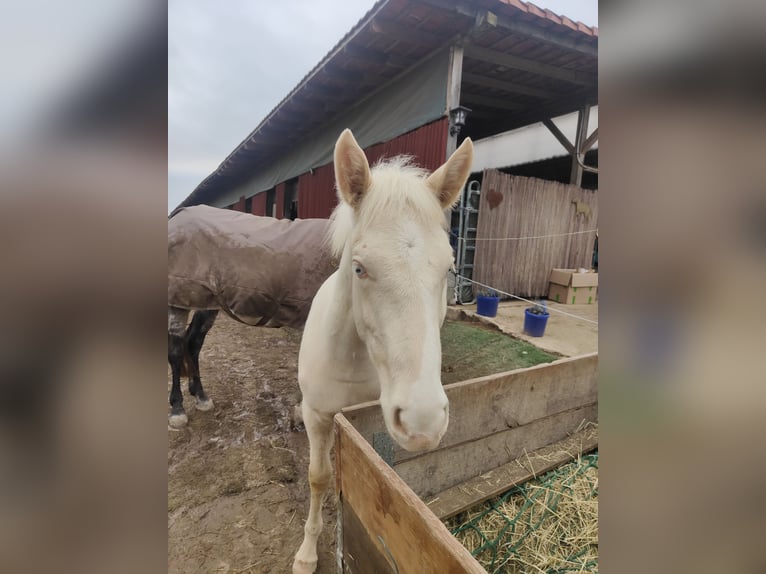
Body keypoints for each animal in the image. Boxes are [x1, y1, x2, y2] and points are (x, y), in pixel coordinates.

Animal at [294, 130, 474, 574]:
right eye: (359, 268)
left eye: (449, 268)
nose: (423, 421)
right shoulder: (317, 414)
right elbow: (318, 476)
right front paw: (307, 553)